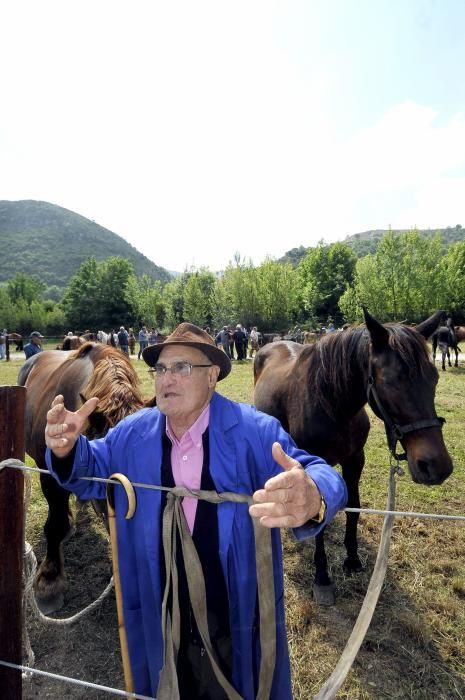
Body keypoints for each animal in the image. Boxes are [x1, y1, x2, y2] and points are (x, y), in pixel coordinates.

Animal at [254, 308, 454, 604]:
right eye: (390, 380)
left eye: (434, 378)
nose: (436, 466)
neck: (334, 405)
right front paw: (322, 577)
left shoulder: (355, 461)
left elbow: (354, 509)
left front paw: (352, 559)